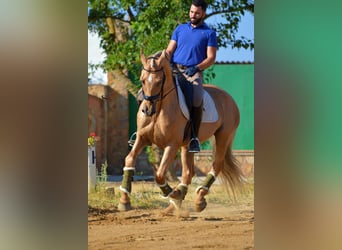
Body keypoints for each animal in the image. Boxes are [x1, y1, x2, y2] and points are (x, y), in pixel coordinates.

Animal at [117, 49, 243, 213]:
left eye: (159, 81)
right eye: (142, 80)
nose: (147, 110)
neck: (159, 110)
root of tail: (228, 98)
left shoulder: (172, 145)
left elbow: (159, 174)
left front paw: (174, 193)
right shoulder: (142, 138)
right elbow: (129, 159)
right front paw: (124, 200)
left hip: (223, 136)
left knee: (217, 165)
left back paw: (198, 199)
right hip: (187, 145)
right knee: (188, 173)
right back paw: (174, 205)